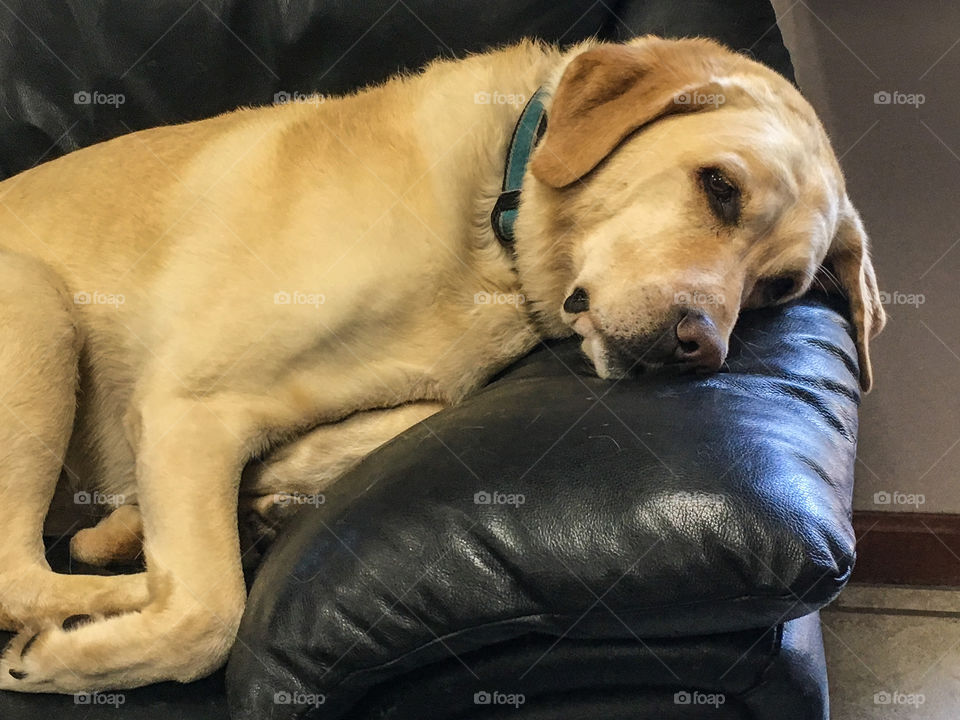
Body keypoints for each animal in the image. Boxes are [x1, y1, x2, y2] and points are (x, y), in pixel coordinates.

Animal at [0, 35, 884, 692]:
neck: (492, 221)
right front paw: (75, 646)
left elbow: (392, 420)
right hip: (36, 305)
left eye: (780, 287)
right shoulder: (187, 406)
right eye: (719, 187)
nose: (700, 347)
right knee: (26, 574)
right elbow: (210, 614)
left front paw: (260, 489)